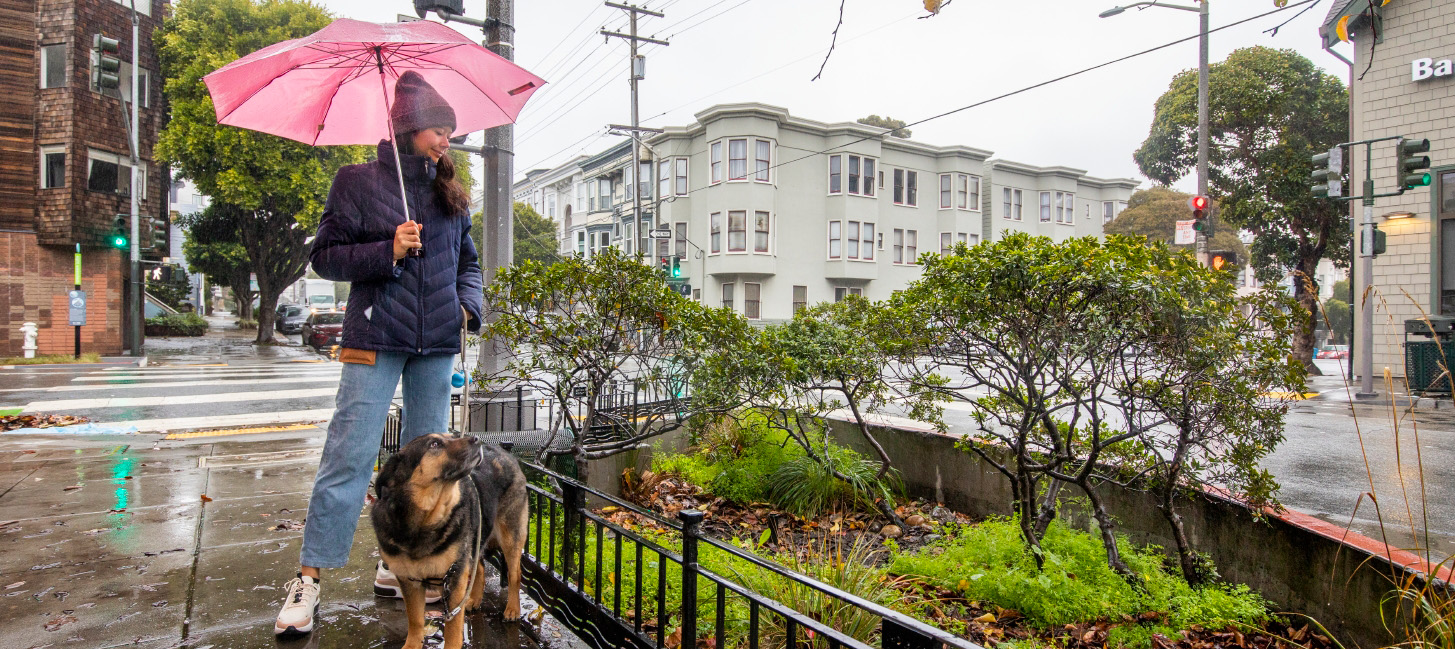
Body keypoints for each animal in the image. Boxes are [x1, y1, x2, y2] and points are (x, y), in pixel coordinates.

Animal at [375, 430, 529, 649]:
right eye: (434, 444)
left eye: (450, 435)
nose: (477, 440)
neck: (424, 523)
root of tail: (505, 453)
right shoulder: (409, 580)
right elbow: (415, 619)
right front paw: (412, 644)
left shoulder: (454, 577)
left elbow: (453, 628)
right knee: (479, 568)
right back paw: (474, 599)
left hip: (510, 535)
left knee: (515, 574)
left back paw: (513, 609)